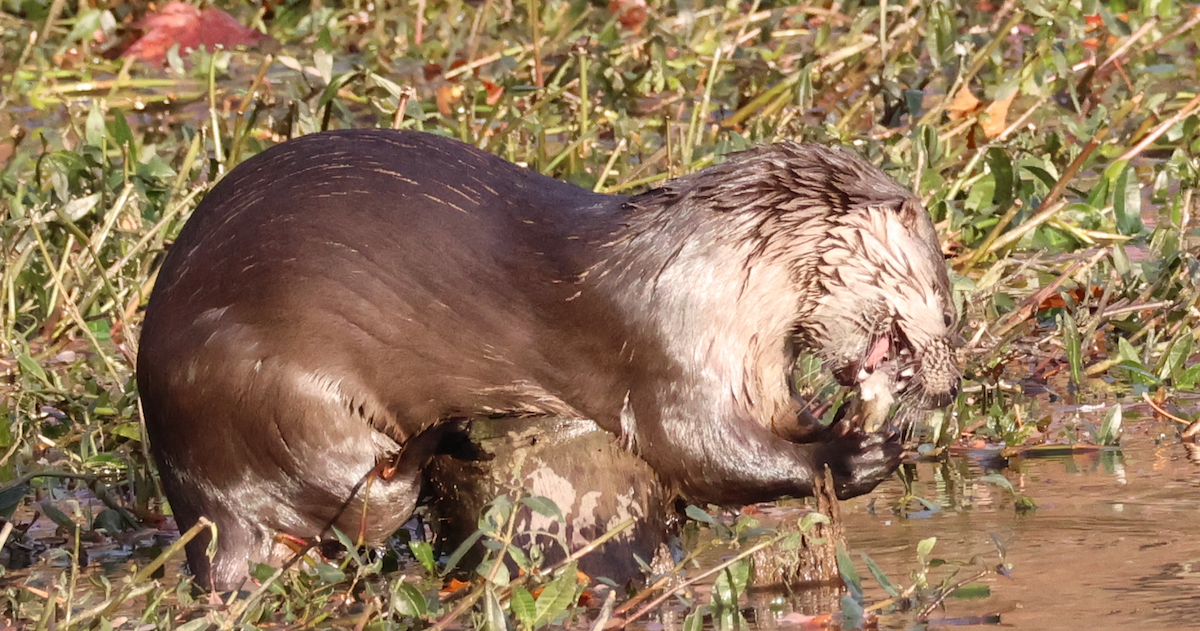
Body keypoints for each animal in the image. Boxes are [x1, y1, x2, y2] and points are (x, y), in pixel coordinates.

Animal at [136, 129, 958, 590]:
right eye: (953, 312)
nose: (949, 389)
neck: (717, 273)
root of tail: (195, 497)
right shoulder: (671, 355)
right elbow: (702, 453)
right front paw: (858, 454)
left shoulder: (755, 372)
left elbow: (776, 430)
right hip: (272, 394)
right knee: (364, 502)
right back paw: (437, 436)